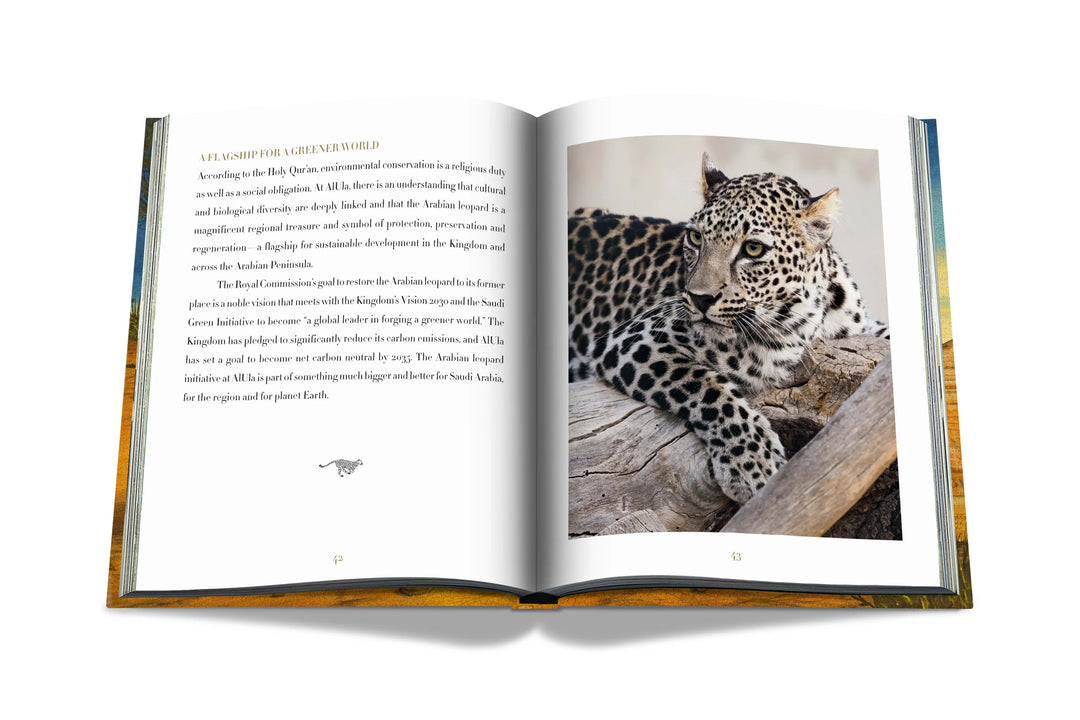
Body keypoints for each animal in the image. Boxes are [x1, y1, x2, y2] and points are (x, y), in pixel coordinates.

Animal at [568, 153, 888, 504]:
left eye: (753, 249)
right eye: (695, 237)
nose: (700, 298)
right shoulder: (636, 338)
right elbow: (707, 387)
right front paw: (754, 464)